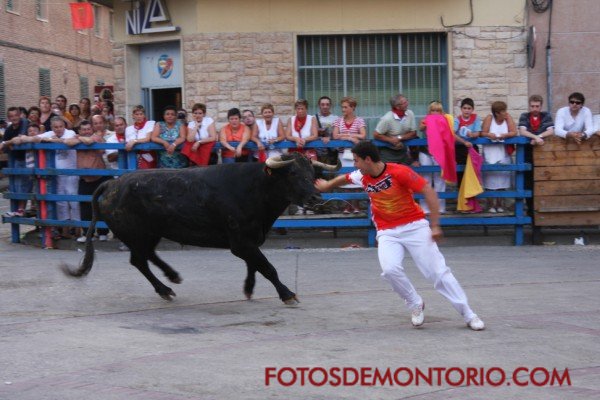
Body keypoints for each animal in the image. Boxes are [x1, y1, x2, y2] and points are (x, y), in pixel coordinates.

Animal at [63, 155, 342, 304]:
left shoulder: (249, 240)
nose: (316, 197)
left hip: (150, 233)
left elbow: (255, 265)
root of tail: (112, 184)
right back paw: (165, 289)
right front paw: (287, 294)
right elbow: (267, 267)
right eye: (292, 173)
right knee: (139, 261)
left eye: (312, 173)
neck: (256, 186)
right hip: (137, 234)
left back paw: (172, 277)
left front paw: (248, 288)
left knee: (146, 256)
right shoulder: (241, 242)